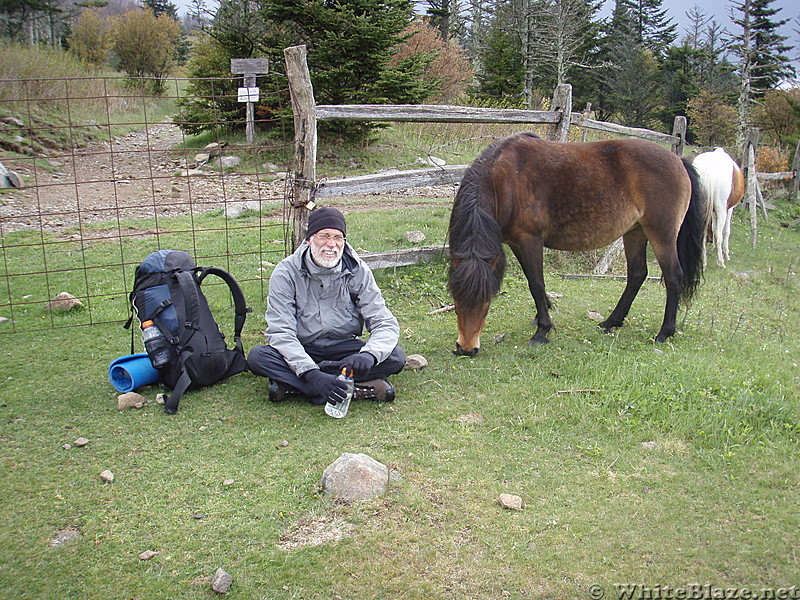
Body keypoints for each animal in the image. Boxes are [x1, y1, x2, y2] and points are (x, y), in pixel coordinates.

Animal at [450, 134, 708, 354]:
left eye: (486, 300)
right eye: (455, 298)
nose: (466, 349)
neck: (506, 178)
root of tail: (678, 160)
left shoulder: (530, 239)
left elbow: (536, 283)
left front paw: (542, 330)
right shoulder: (515, 242)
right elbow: (532, 280)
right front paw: (542, 315)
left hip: (661, 234)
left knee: (673, 276)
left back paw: (664, 332)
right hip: (635, 232)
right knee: (637, 274)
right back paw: (612, 321)